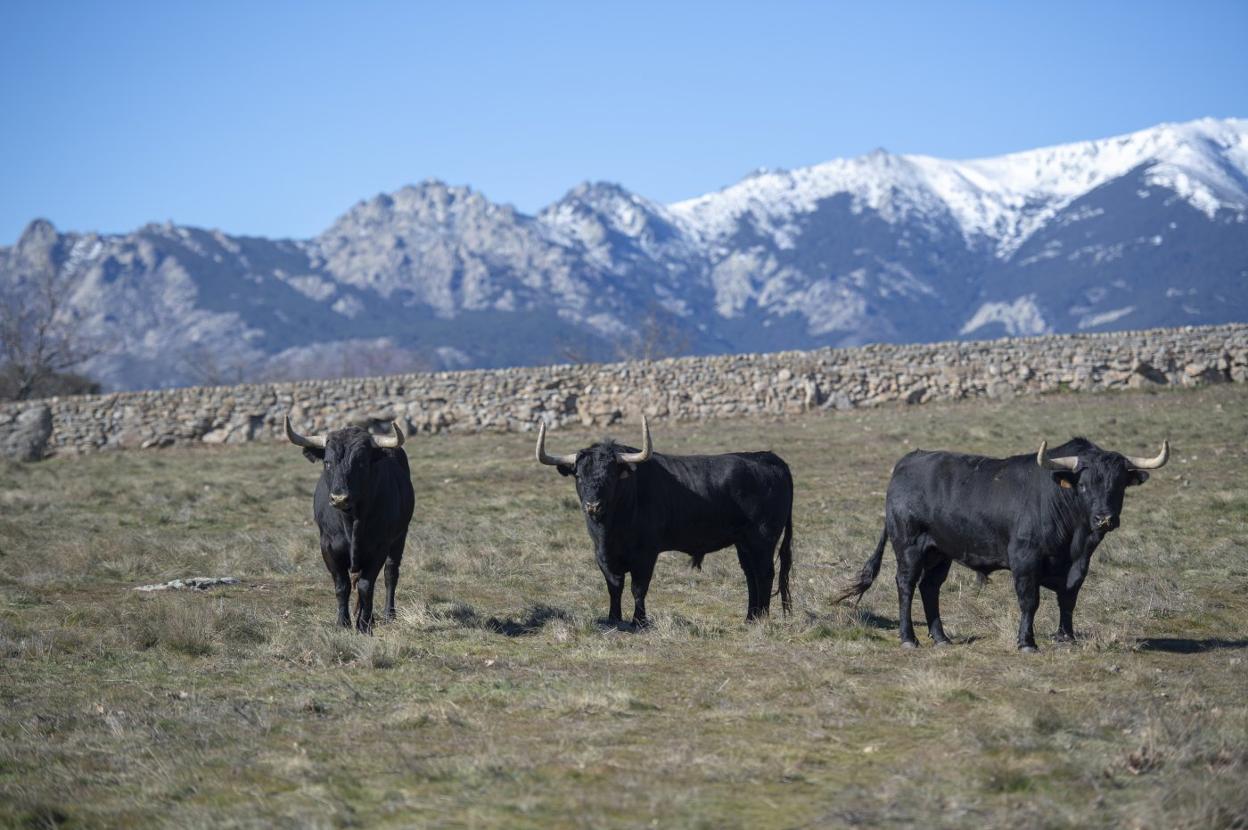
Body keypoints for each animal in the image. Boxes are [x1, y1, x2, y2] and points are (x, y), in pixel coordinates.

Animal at [285, 416, 416, 631]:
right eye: (327, 463)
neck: (351, 519)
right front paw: (343, 622)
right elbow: (342, 585)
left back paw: (388, 613)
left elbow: (366, 585)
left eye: (361, 462)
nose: (339, 498)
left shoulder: (379, 546)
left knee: (391, 573)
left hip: (400, 537)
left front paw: (364, 625)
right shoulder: (328, 546)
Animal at [534, 416, 788, 624]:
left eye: (611, 475)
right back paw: (750, 618)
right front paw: (613, 619)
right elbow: (614, 586)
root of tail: (769, 457)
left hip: (763, 538)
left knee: (765, 573)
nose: (593, 506)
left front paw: (639, 621)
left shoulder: (646, 554)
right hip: (744, 542)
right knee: (751, 574)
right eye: (578, 475)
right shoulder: (602, 554)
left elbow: (638, 588)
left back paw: (762, 619)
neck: (612, 527)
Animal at [838, 436, 1168, 649]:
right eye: (1084, 485)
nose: (1104, 518)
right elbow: (1030, 601)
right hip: (909, 546)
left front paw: (1066, 637)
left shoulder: (1078, 566)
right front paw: (1027, 642)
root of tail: (907, 461)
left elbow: (1068, 599)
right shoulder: (1025, 560)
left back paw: (942, 638)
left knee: (930, 587)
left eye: (1119, 485)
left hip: (939, 552)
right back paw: (909, 638)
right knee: (906, 585)